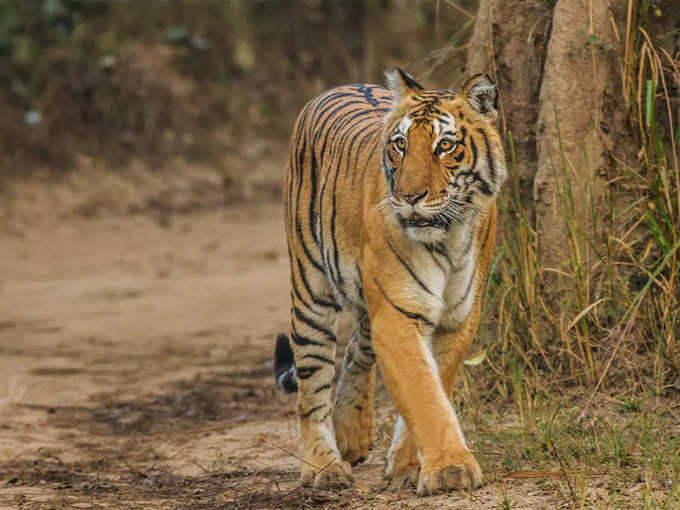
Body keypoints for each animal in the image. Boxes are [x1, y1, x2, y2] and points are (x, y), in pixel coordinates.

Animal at [272, 67, 504, 494]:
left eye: (445, 146)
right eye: (400, 145)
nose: (410, 196)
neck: (447, 238)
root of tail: (340, 86)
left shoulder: (458, 318)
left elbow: (434, 386)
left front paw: (409, 466)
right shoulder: (397, 316)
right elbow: (423, 393)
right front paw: (450, 469)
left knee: (356, 351)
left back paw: (352, 434)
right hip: (311, 288)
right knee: (311, 388)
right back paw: (324, 467)